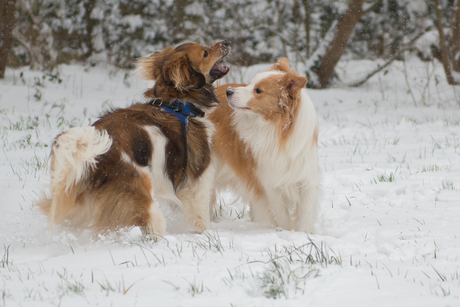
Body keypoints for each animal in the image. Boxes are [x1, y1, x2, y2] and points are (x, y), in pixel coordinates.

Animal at [36, 40, 230, 238]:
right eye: (205, 52)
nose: (226, 42)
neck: (179, 104)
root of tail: (99, 160)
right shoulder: (197, 181)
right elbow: (201, 215)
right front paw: (206, 234)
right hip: (141, 201)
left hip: (82, 207)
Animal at [209, 57, 320, 233]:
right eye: (248, 83)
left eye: (258, 90)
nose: (229, 91)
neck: (277, 128)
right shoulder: (268, 180)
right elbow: (281, 214)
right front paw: (286, 231)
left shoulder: (305, 174)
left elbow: (306, 211)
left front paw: (304, 233)